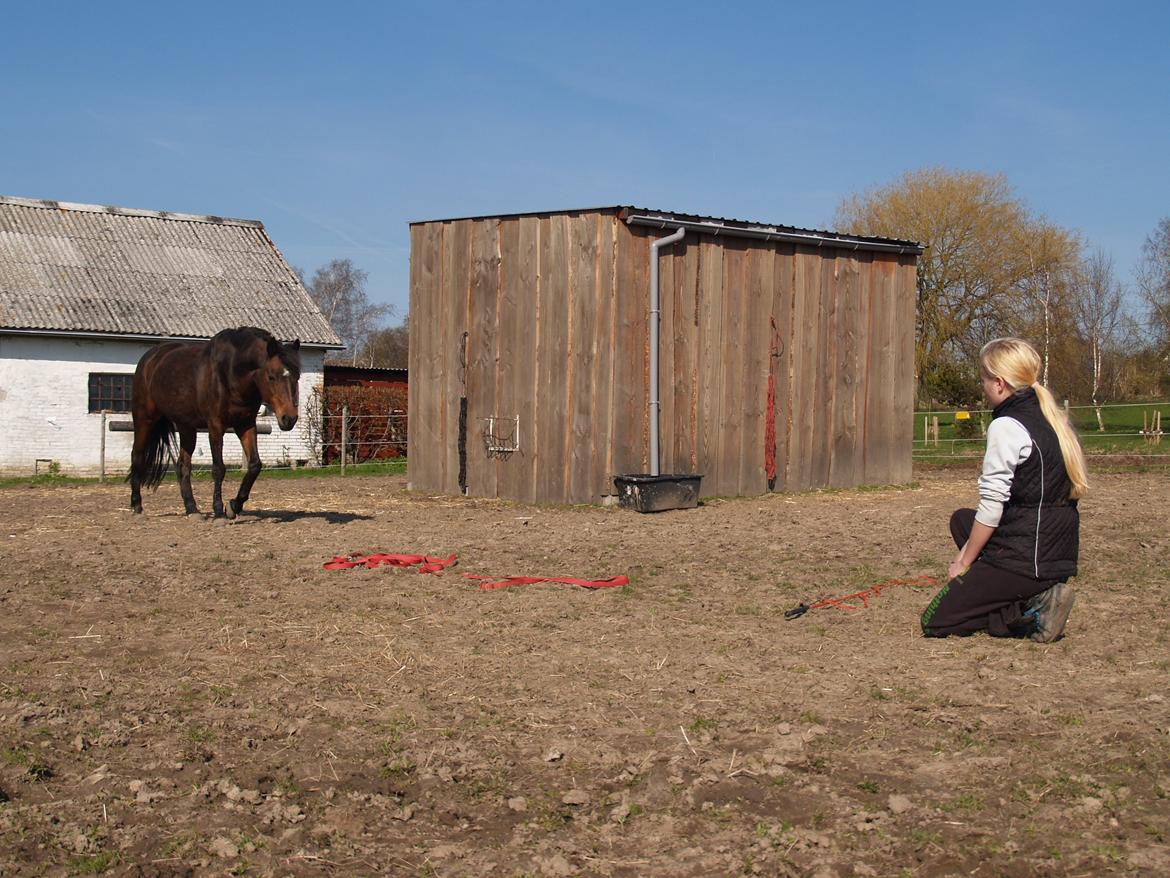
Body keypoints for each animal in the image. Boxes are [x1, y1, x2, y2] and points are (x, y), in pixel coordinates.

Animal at [129, 330, 301, 522]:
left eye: (297, 377)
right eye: (271, 376)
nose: (289, 418)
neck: (232, 373)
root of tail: (149, 359)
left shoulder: (246, 424)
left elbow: (255, 465)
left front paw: (234, 506)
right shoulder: (215, 426)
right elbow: (219, 468)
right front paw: (219, 512)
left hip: (186, 426)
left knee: (183, 465)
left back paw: (192, 509)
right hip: (144, 419)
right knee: (137, 455)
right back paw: (137, 506)